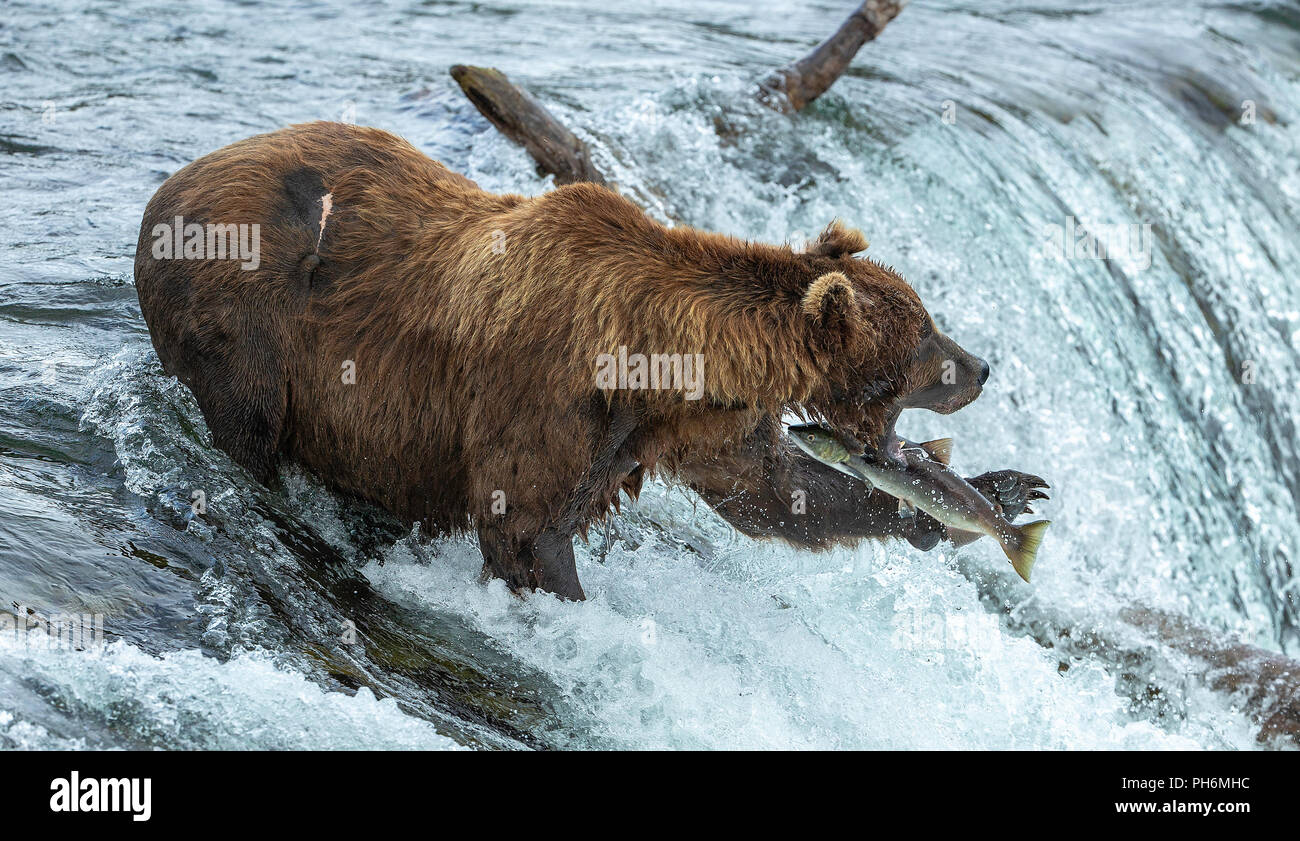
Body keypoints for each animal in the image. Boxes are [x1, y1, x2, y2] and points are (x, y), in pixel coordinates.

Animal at [134, 121, 1045, 603]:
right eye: (924, 341)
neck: (657, 360)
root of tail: (168, 186)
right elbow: (523, 526)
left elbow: (779, 494)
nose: (983, 366)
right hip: (247, 317)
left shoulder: (692, 425)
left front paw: (990, 496)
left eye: (929, 319)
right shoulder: (547, 394)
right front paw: (569, 605)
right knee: (250, 426)